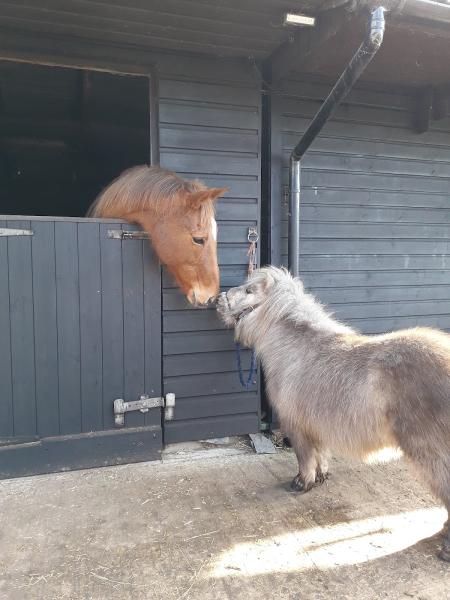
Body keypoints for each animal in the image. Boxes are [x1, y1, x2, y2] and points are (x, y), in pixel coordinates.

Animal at [217, 264, 450, 560]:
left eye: (249, 290)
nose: (218, 298)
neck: (293, 351)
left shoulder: (296, 426)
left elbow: (305, 457)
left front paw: (301, 484)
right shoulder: (318, 425)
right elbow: (321, 455)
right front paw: (320, 478)